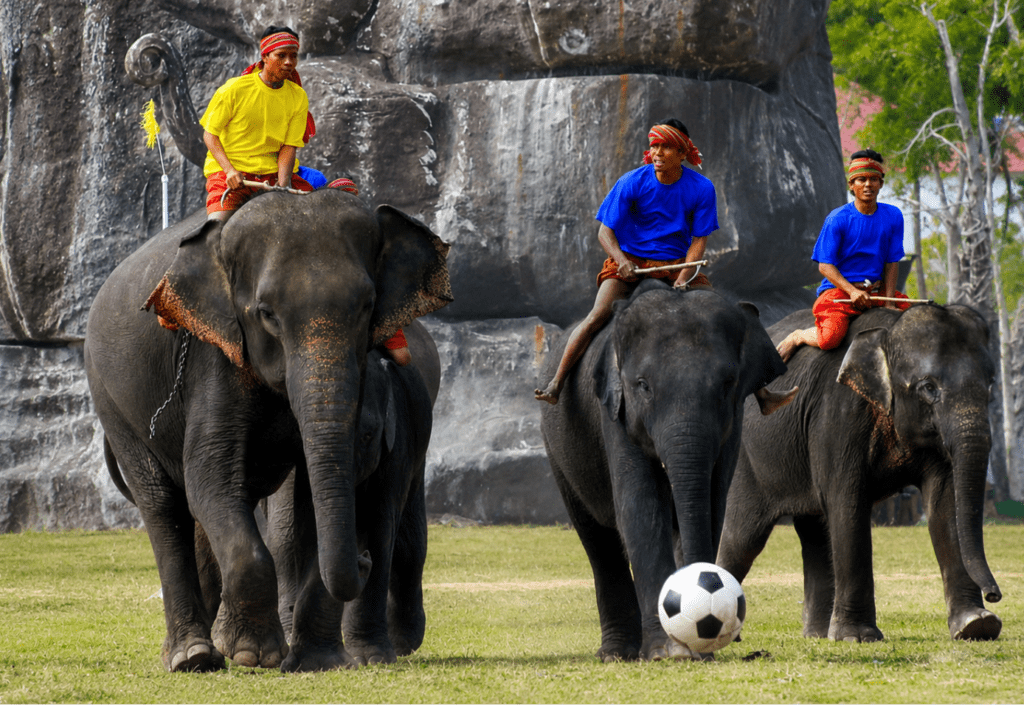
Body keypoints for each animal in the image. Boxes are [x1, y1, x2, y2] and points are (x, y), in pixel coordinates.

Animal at [263, 337, 438, 669]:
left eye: (368, 435)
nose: (361, 560)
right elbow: (293, 530)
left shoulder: (397, 442)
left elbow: (379, 527)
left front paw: (372, 657)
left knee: (410, 539)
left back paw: (403, 643)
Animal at [540, 279, 796, 662]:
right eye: (643, 385)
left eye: (728, 383)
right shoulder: (614, 412)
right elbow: (641, 507)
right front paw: (668, 652)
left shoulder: (732, 424)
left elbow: (711, 502)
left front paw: (693, 652)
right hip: (557, 446)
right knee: (596, 538)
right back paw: (616, 653)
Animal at [716, 303, 1002, 643]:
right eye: (928, 387)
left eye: (990, 385)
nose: (994, 595)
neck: (888, 332)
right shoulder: (839, 414)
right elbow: (847, 504)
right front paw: (858, 637)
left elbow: (945, 506)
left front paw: (976, 625)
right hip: (745, 460)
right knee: (742, 539)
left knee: (814, 535)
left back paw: (817, 635)